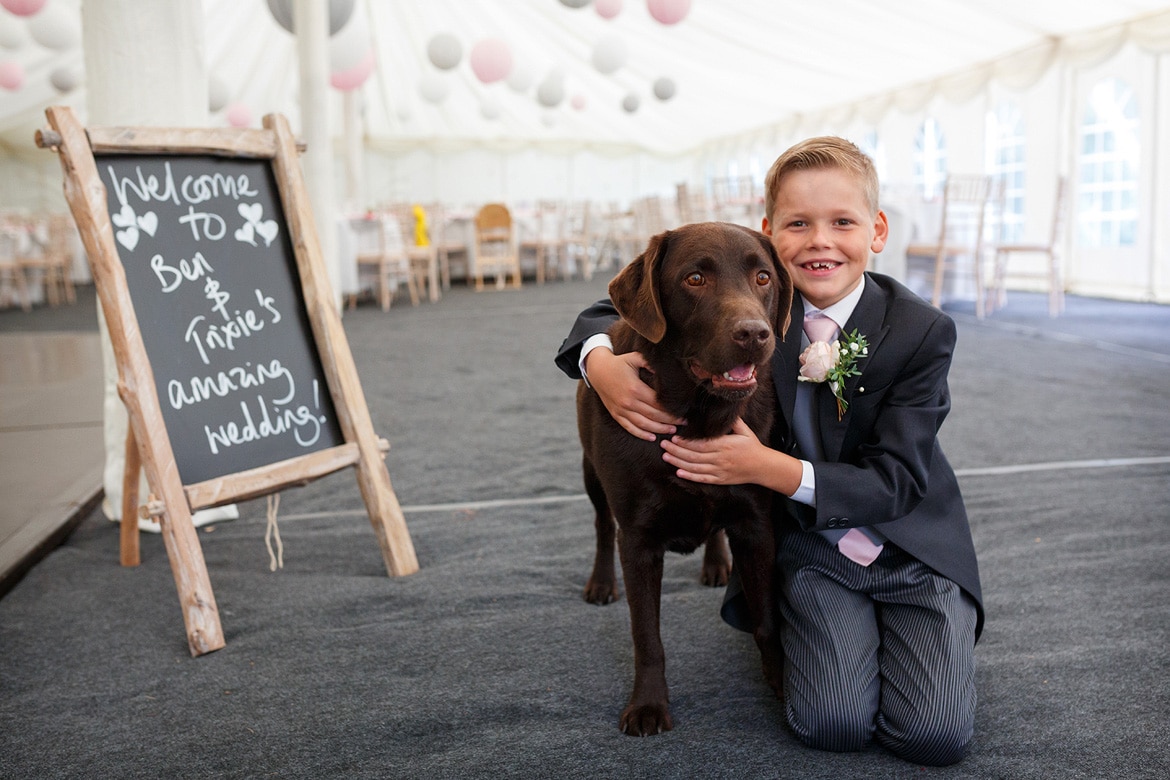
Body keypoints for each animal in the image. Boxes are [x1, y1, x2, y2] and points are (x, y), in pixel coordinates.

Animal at [577, 222, 795, 734]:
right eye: (695, 279)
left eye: (763, 277)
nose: (754, 333)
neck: (698, 416)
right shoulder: (638, 539)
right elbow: (646, 635)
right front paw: (648, 705)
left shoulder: (756, 524)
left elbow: (766, 619)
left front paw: (782, 684)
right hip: (591, 475)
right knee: (601, 526)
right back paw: (601, 583)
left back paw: (716, 564)